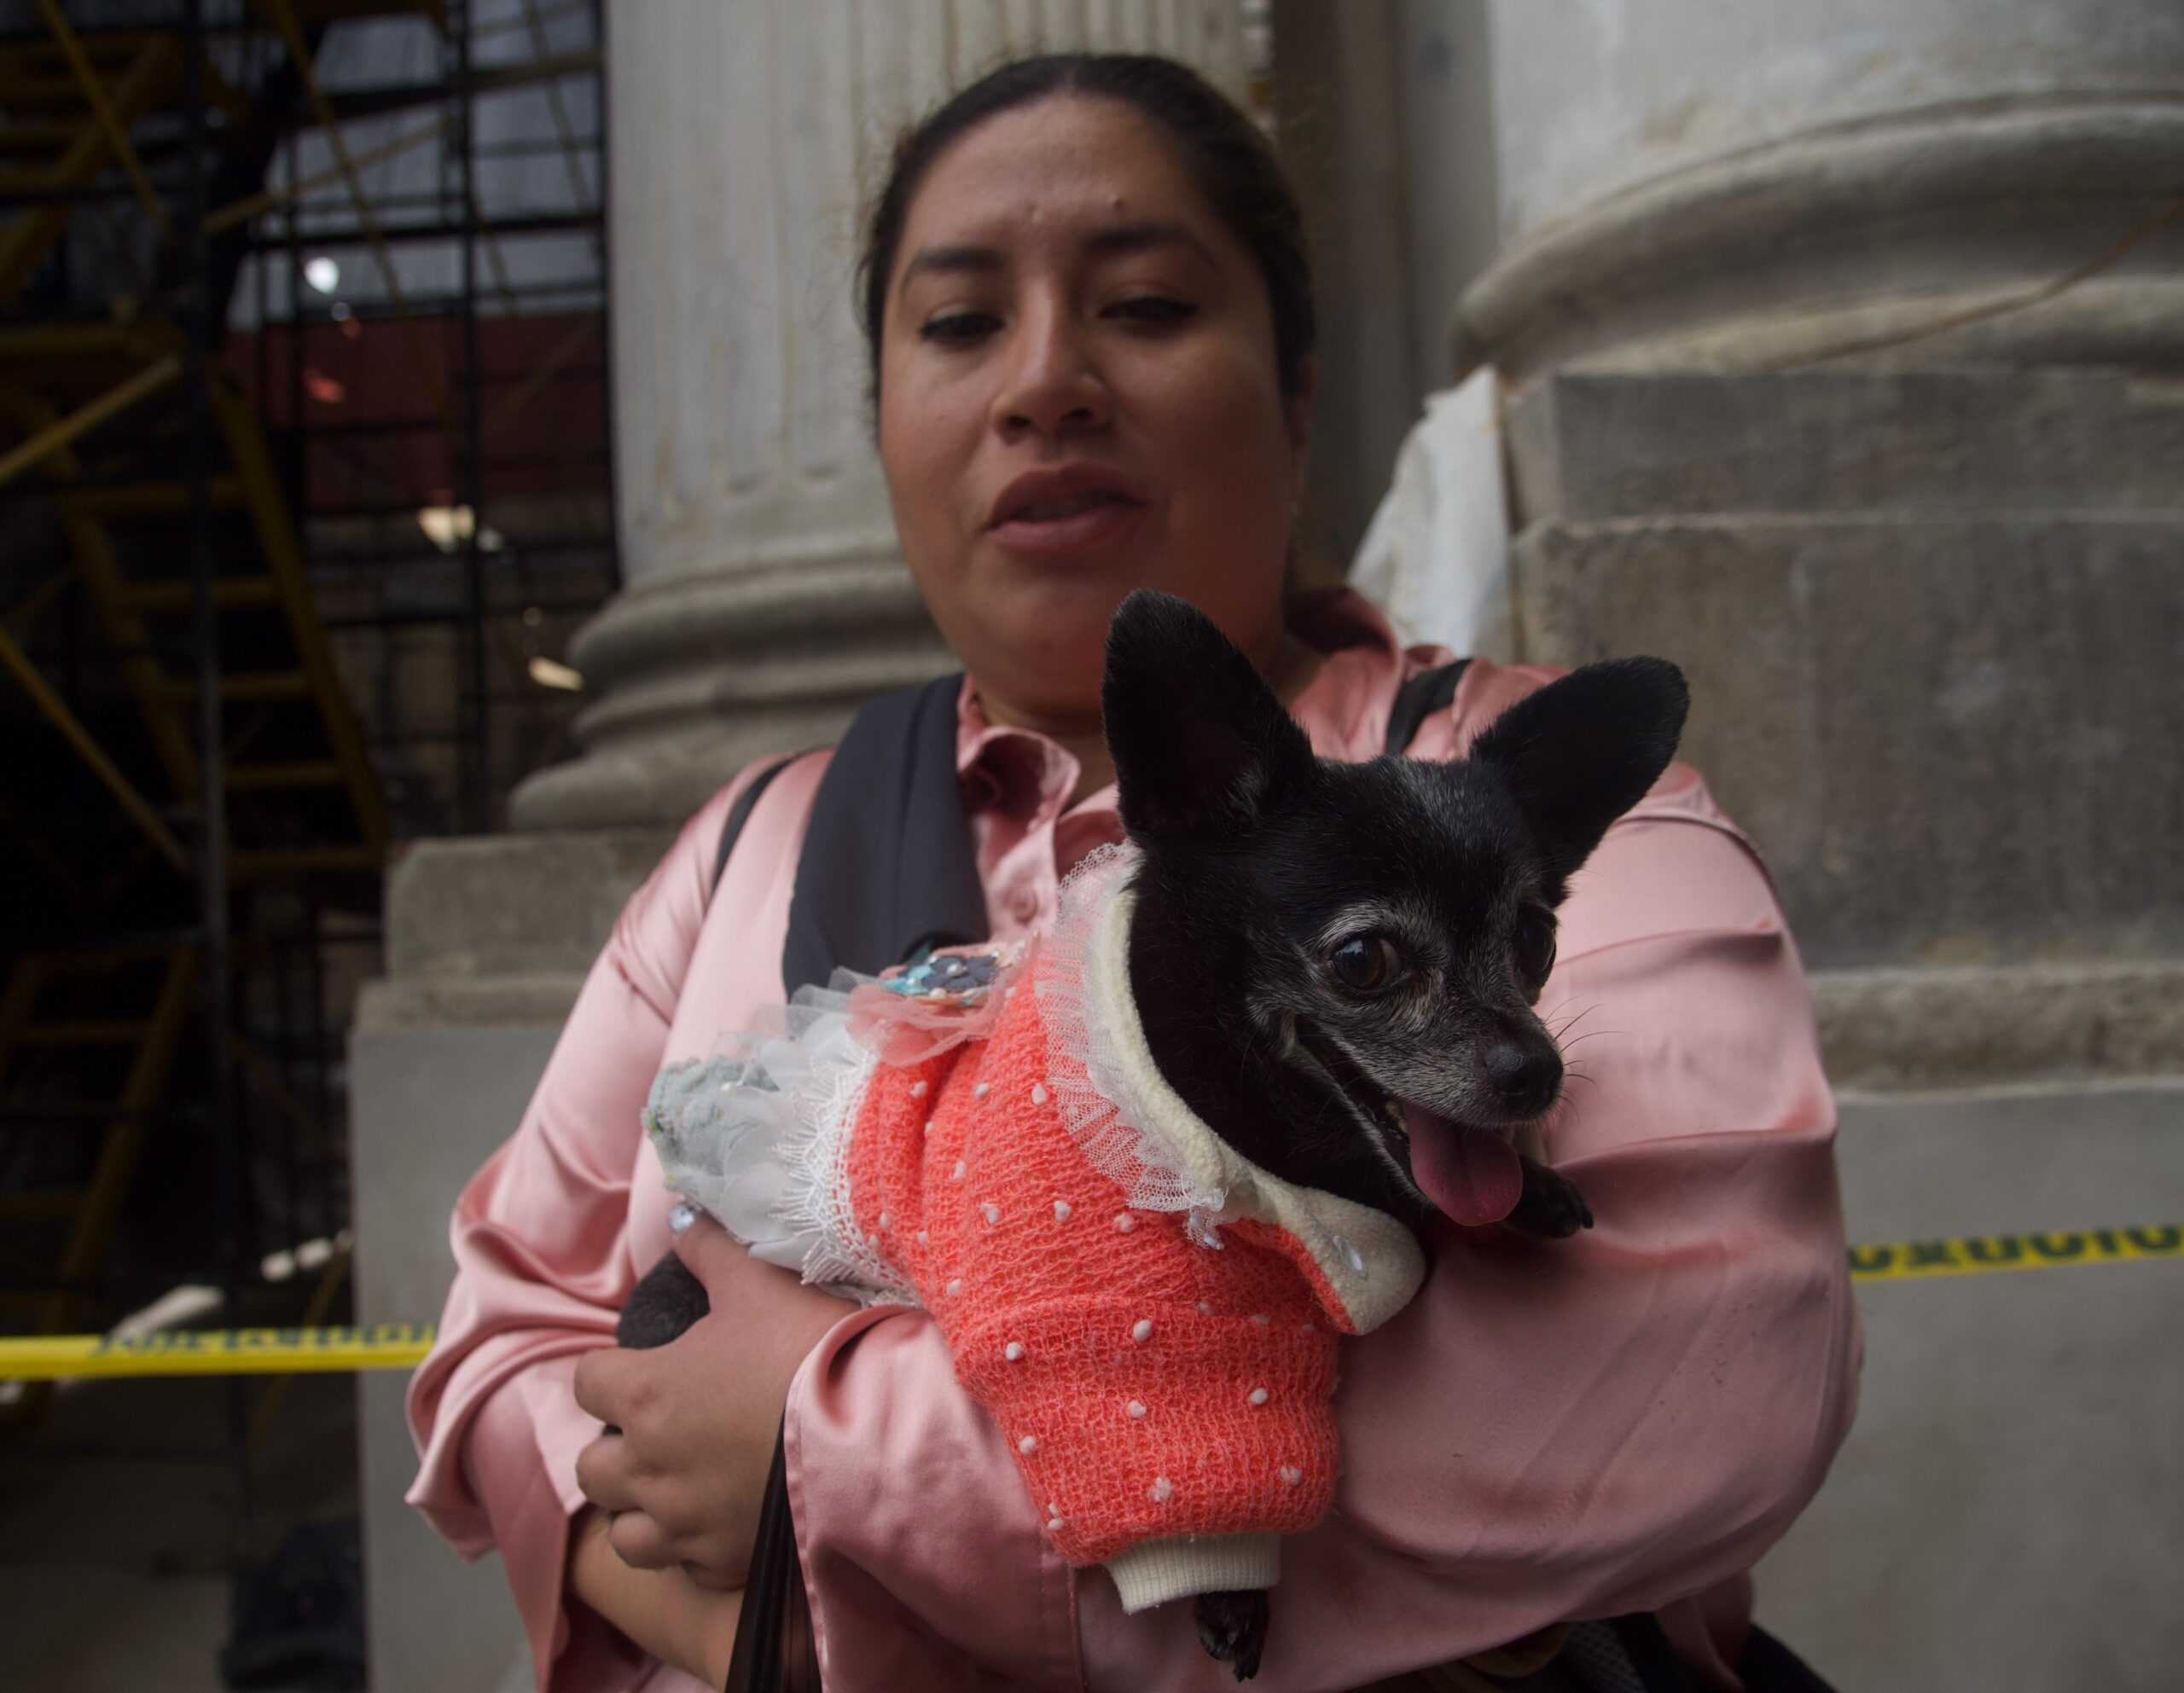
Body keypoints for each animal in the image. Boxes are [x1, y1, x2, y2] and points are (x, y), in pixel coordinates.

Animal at [620, 589, 1686, 1678]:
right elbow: (1176, 1455)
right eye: (1363, 958)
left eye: (1536, 939)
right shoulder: (1104, 1328)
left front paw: (1533, 1183)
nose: (1534, 1069)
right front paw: (1226, 1584)